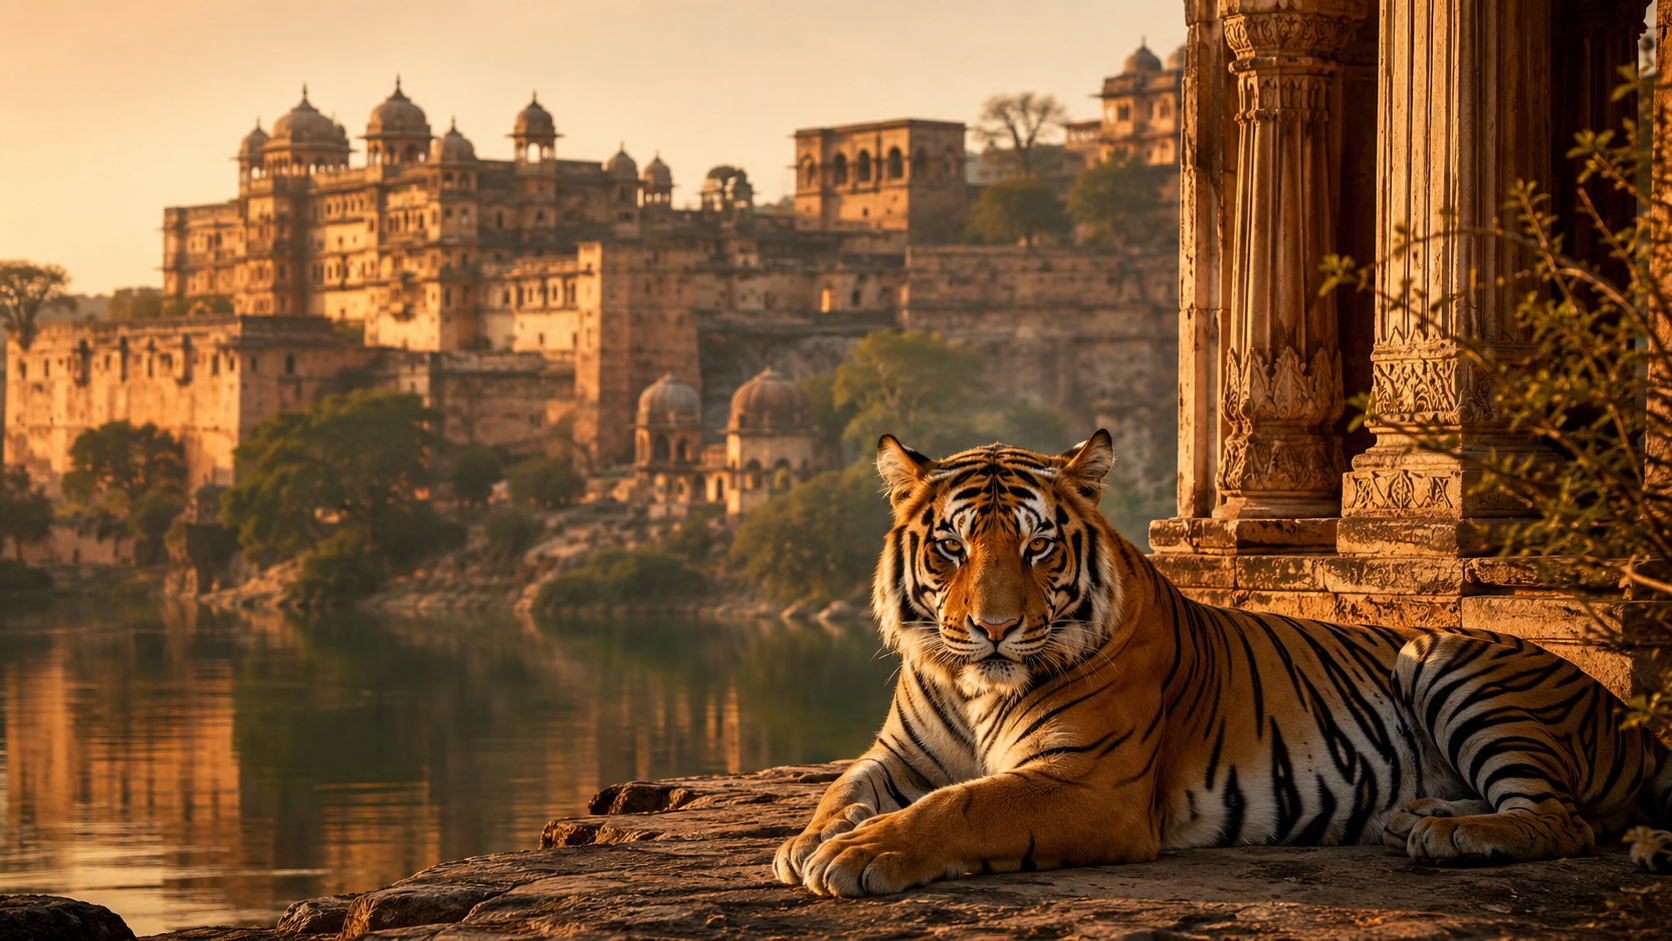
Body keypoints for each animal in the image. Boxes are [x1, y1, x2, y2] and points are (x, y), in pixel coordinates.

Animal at [772, 431, 1672, 897]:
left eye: (1037, 546)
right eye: (952, 546)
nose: (993, 628)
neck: (969, 685)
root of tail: (1628, 716)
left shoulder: (1088, 783)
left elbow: (960, 805)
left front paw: (855, 853)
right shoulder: (898, 755)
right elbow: (841, 788)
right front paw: (806, 840)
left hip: (1448, 655)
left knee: (1566, 818)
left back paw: (1454, 835)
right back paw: (1419, 816)